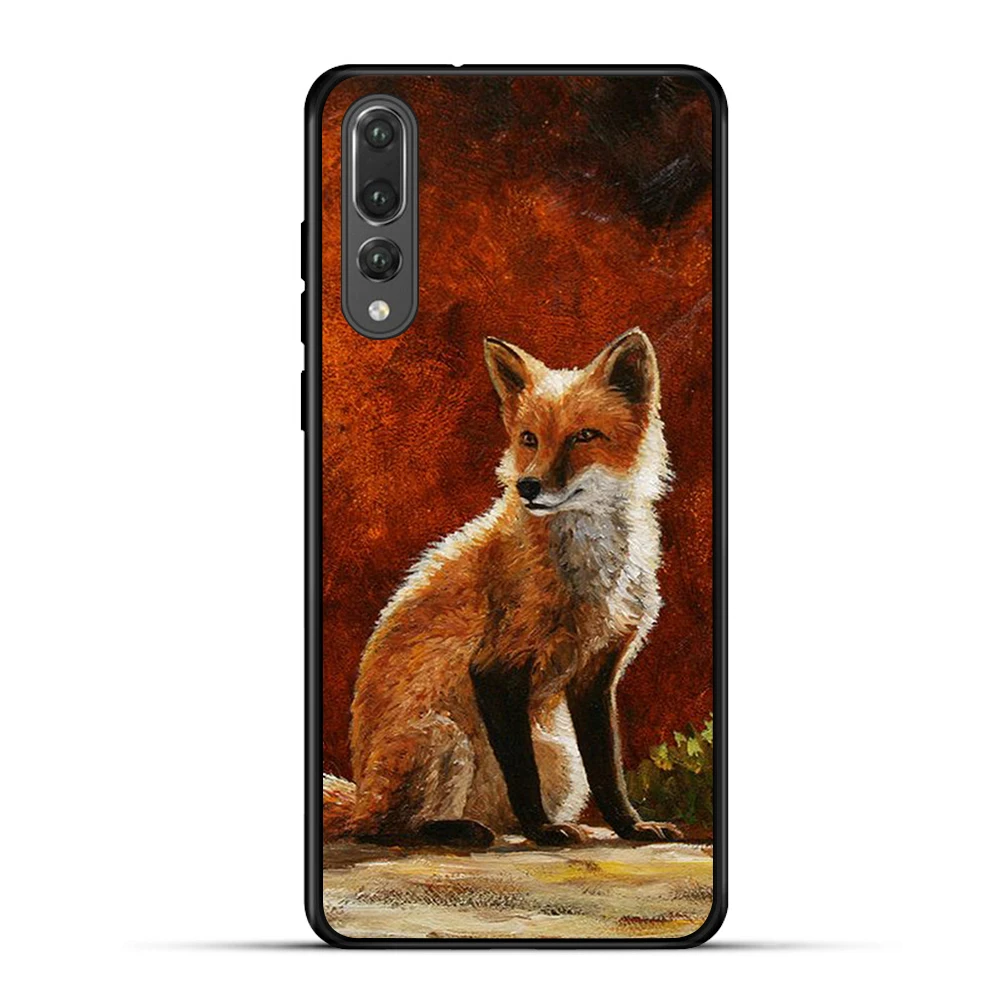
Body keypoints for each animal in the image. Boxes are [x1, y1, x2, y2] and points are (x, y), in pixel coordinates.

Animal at [323, 328, 681, 848]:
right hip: (442, 736)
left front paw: (630, 825)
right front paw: (543, 829)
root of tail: (360, 793)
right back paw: (459, 829)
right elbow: (522, 774)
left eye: (584, 436)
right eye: (529, 438)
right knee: (381, 828)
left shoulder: (596, 672)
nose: (528, 486)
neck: (587, 573)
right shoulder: (496, 667)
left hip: (560, 759)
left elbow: (607, 769)